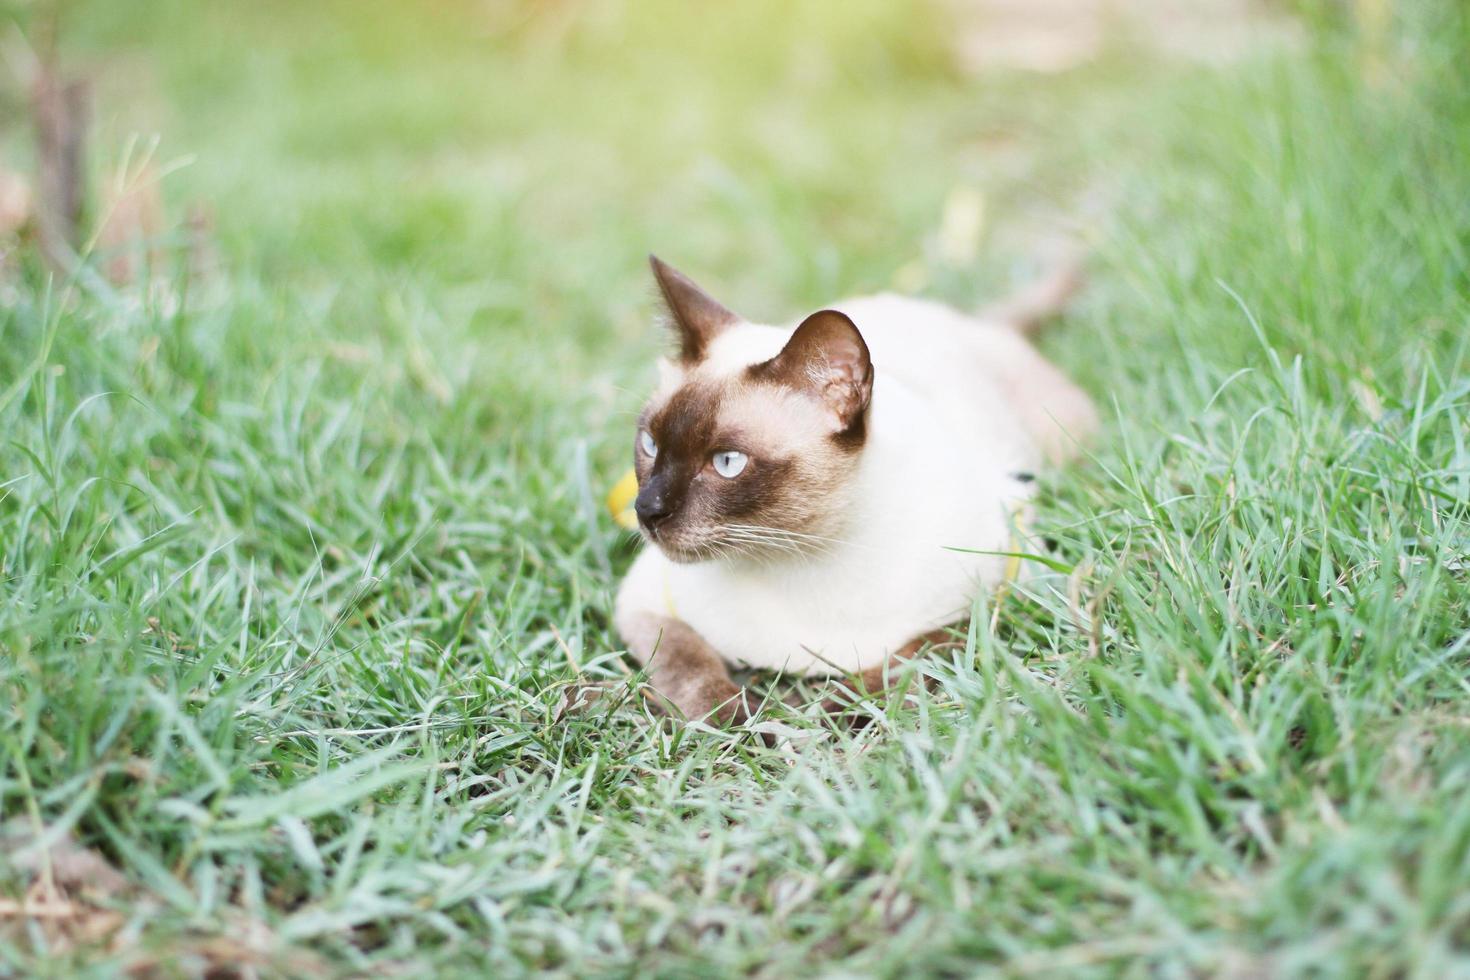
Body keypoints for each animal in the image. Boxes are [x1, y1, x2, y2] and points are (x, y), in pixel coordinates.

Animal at [608, 255, 1093, 728]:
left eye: (727, 462)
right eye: (650, 444)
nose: (646, 510)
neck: (799, 556)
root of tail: (966, 319)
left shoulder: (996, 600)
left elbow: (901, 665)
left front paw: (814, 721)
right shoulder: (642, 607)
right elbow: (688, 665)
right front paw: (733, 722)